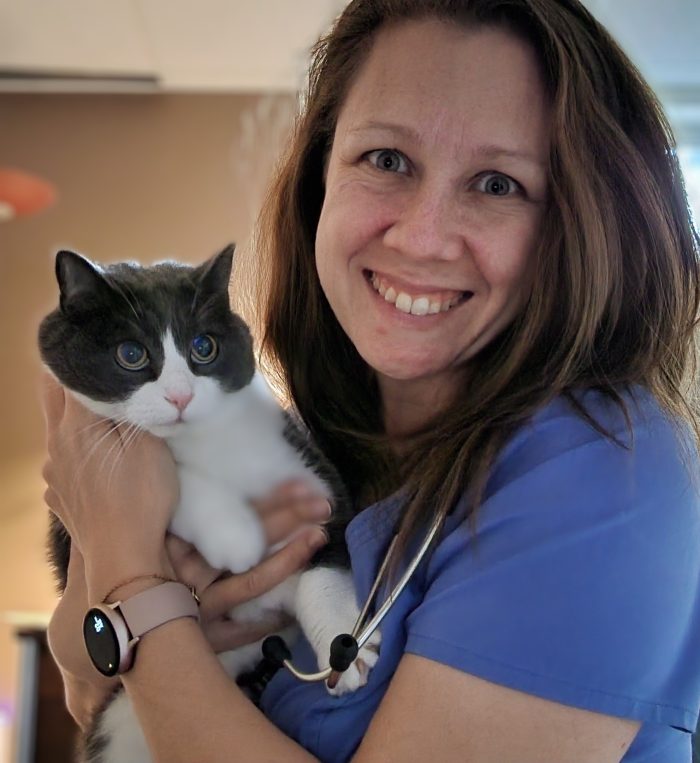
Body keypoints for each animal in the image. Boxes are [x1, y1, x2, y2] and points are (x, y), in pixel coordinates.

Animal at [38, 245, 380, 763]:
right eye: (131, 354)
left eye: (204, 347)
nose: (180, 397)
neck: (205, 438)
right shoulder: (74, 515)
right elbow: (167, 475)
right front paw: (235, 537)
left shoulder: (306, 464)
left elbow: (324, 559)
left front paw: (344, 645)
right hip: (119, 725)